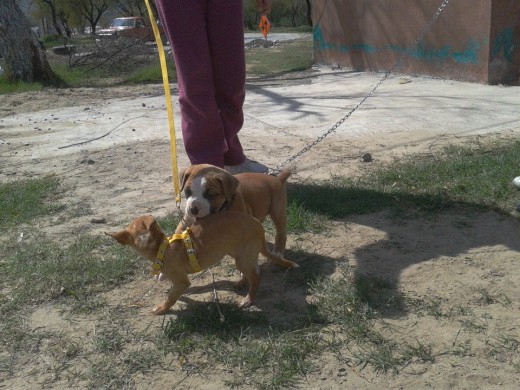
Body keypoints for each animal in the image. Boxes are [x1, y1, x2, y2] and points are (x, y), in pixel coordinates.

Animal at [105, 212, 298, 316]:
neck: (162, 247)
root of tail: (258, 226)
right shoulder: (178, 281)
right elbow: (173, 291)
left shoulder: (182, 281)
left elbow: (172, 297)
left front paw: (162, 308)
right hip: (238, 254)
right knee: (251, 273)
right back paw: (241, 283)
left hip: (243, 257)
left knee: (256, 278)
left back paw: (249, 299)